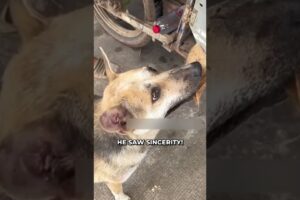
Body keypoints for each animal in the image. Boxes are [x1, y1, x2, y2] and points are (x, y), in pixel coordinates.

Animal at [94, 47, 202, 200]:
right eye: (155, 94)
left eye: (152, 69)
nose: (197, 66)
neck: (124, 138)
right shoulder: (113, 181)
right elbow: (118, 191)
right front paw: (123, 197)